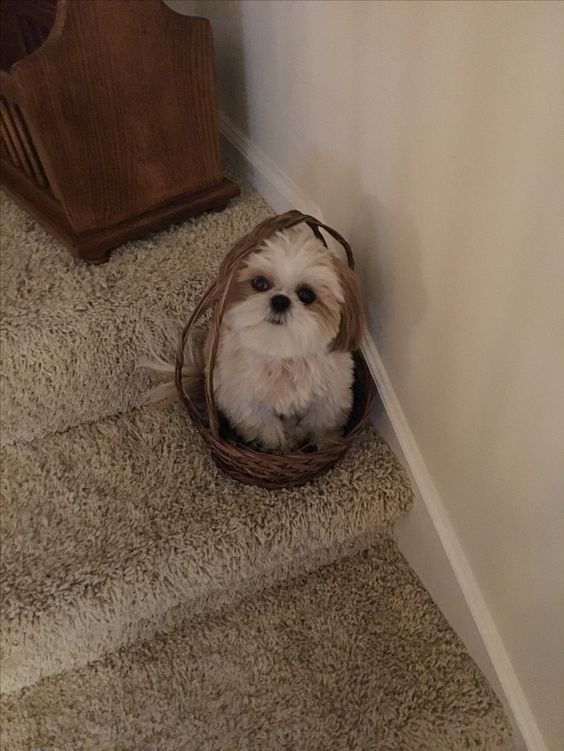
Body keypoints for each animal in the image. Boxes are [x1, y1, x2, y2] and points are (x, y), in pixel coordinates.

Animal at [148, 226, 364, 456]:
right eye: (260, 283)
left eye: (306, 295)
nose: (280, 300)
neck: (282, 355)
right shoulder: (246, 405)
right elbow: (267, 430)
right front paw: (281, 446)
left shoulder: (330, 399)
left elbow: (322, 426)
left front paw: (324, 445)